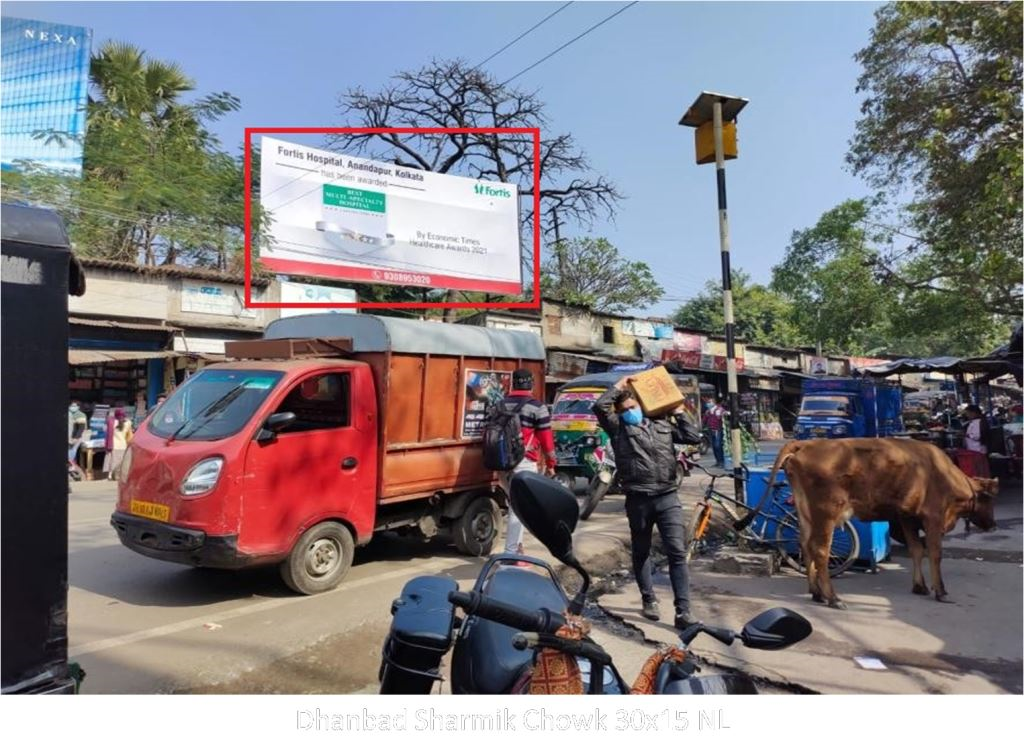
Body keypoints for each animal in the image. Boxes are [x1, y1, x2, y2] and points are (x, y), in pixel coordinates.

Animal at [765, 440, 995, 609]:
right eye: (989, 499)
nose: (993, 525)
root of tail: (806, 444)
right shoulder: (933, 517)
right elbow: (935, 553)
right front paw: (941, 591)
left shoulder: (907, 517)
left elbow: (916, 550)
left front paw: (919, 586)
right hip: (826, 513)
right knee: (820, 550)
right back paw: (833, 598)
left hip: (806, 512)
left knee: (805, 544)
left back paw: (816, 593)